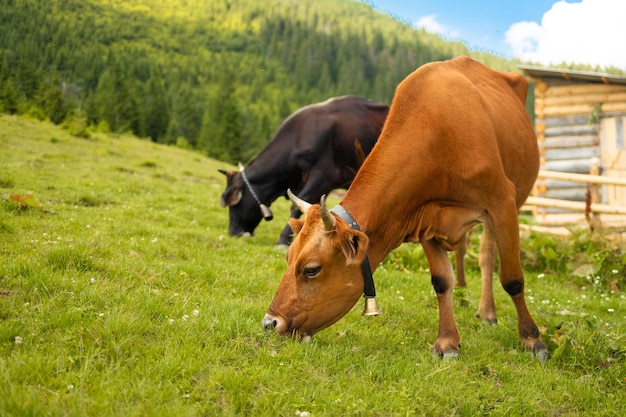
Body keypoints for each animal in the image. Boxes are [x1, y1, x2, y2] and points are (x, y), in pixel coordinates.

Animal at [260, 57, 544, 360]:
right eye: (288, 257)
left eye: (312, 269)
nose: (270, 323)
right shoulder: (427, 218)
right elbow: (441, 281)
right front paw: (447, 343)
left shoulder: (501, 201)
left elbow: (512, 278)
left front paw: (532, 340)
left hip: (512, 203)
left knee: (489, 255)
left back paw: (488, 312)